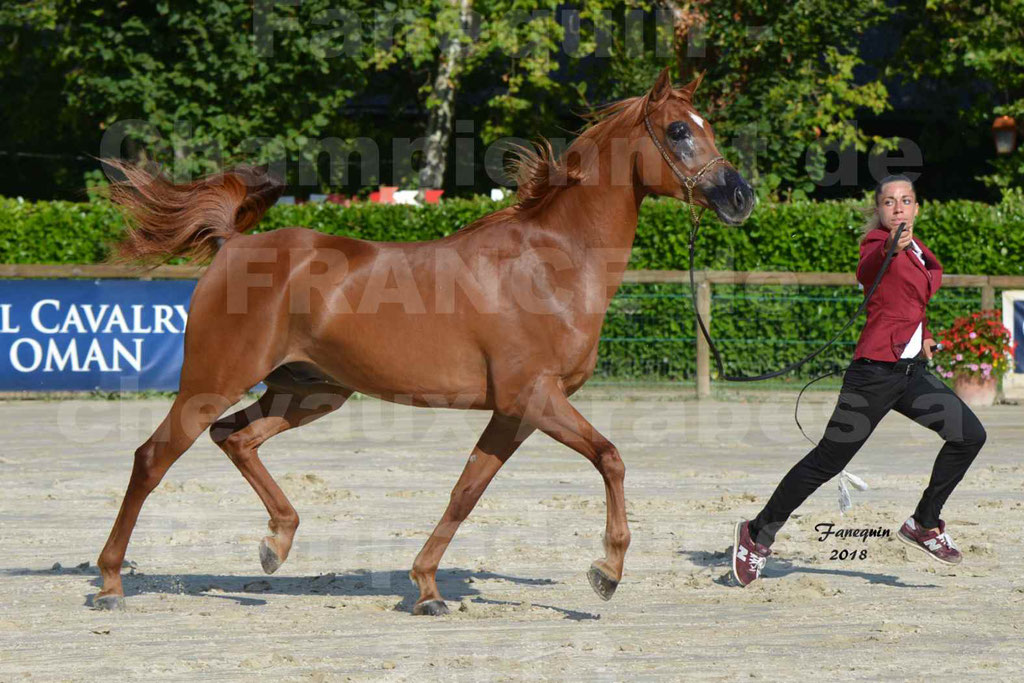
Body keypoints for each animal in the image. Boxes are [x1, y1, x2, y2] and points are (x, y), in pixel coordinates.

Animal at [94, 68, 753, 614]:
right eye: (678, 130)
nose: (740, 197)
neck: (552, 264)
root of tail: (233, 246)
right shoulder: (535, 397)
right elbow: (610, 457)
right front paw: (606, 571)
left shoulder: (515, 411)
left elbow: (466, 491)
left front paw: (428, 588)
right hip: (213, 381)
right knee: (153, 458)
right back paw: (110, 584)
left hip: (310, 392)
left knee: (234, 436)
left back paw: (275, 545)